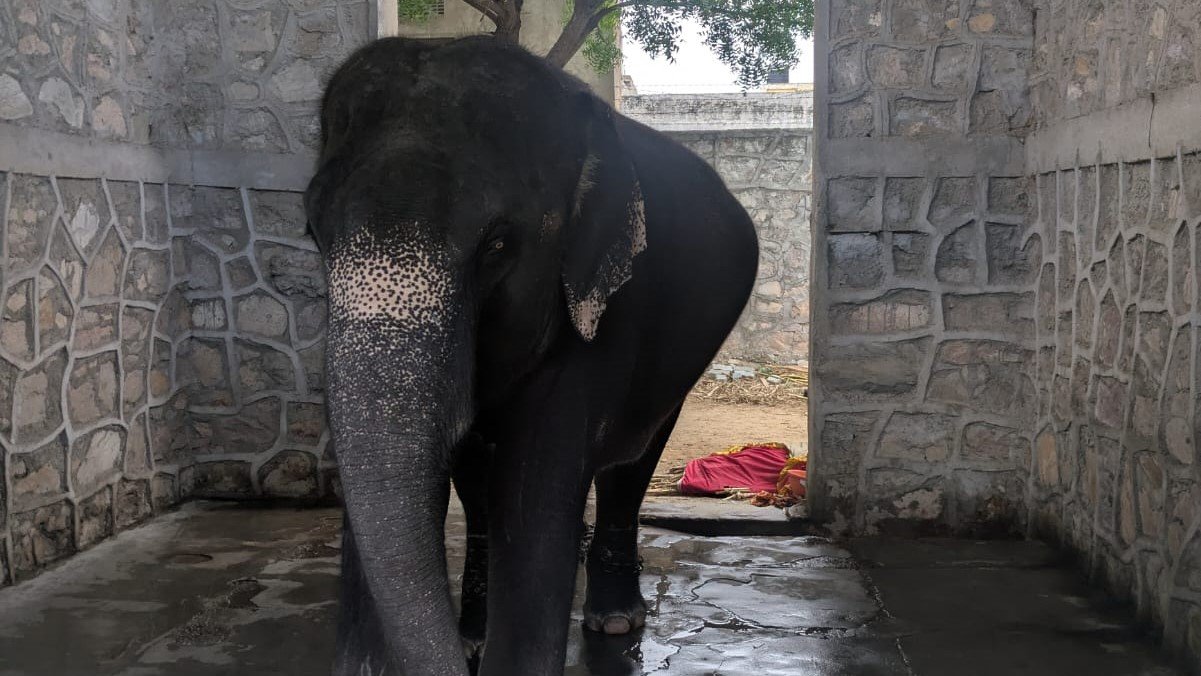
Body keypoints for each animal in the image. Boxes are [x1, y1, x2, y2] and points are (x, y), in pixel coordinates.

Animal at [304, 35, 759, 676]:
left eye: (496, 245)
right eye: (313, 233)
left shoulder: (603, 312)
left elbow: (535, 493)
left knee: (635, 456)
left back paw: (614, 621)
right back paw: (476, 633)